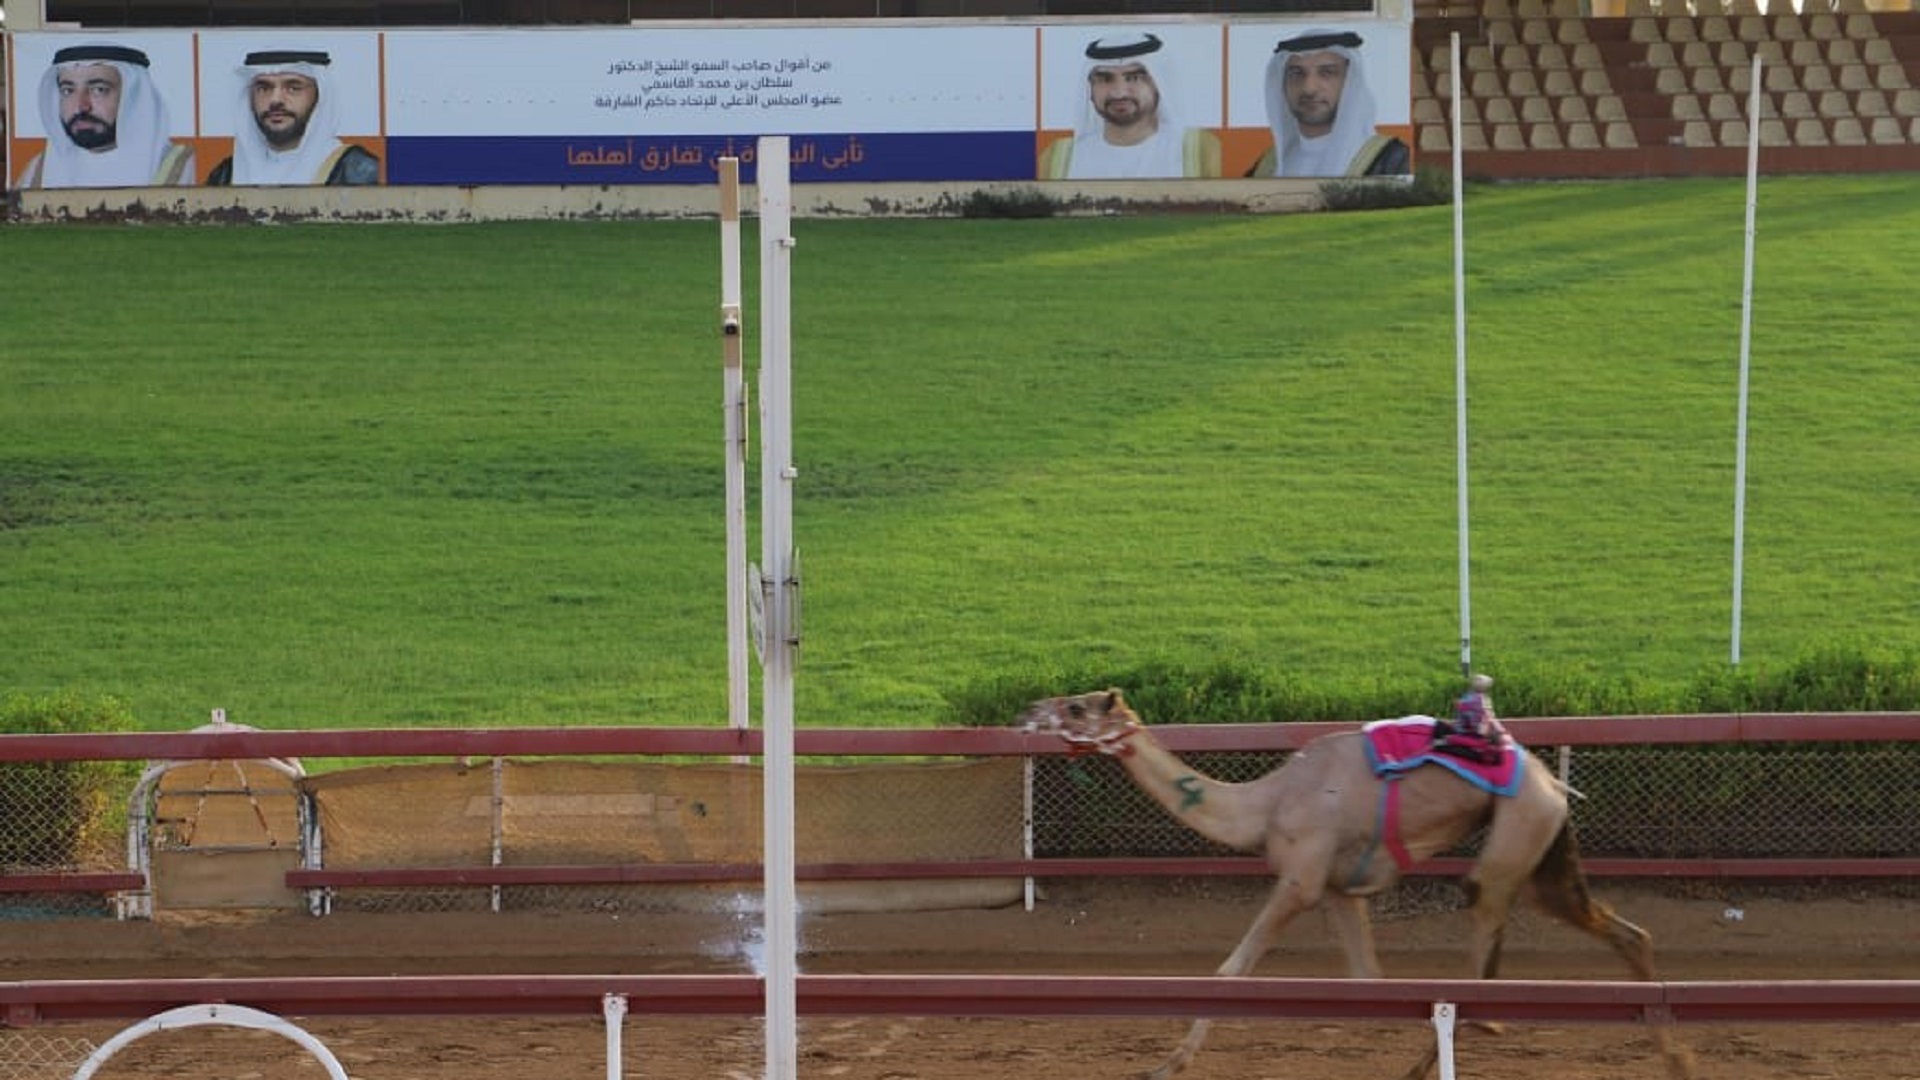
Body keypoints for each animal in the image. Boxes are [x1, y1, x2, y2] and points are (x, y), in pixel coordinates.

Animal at [1021, 684, 1697, 1076]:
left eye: (1076, 707)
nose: (1027, 711)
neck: (1264, 804)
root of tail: (1553, 784)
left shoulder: (1300, 879)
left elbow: (1230, 972)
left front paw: (1167, 1065)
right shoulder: (1339, 891)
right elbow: (1370, 980)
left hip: (1517, 832)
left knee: (1480, 956)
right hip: (1544, 858)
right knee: (1622, 931)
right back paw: (1677, 1060)